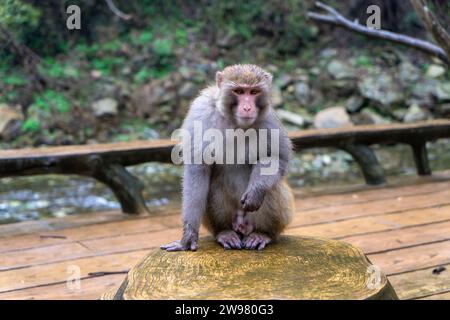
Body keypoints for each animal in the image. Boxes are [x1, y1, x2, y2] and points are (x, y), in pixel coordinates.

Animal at [160, 63, 294, 251]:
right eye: (239, 91)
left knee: (273, 188)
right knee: (214, 184)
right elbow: (197, 168)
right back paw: (224, 232)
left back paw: (263, 234)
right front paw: (187, 237)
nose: (247, 108)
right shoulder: (200, 112)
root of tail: (242, 226)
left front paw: (256, 191)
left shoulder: (269, 120)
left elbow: (278, 157)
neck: (234, 122)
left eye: (254, 92)